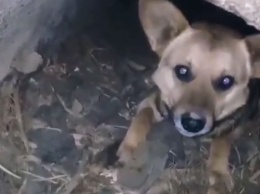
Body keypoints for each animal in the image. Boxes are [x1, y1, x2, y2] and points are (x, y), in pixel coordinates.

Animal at [117, 0, 260, 192]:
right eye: (182, 71)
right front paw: (130, 147)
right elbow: (142, 117)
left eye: (226, 81)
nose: (192, 123)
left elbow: (222, 141)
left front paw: (218, 172)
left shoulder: (236, 123)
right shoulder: (152, 102)